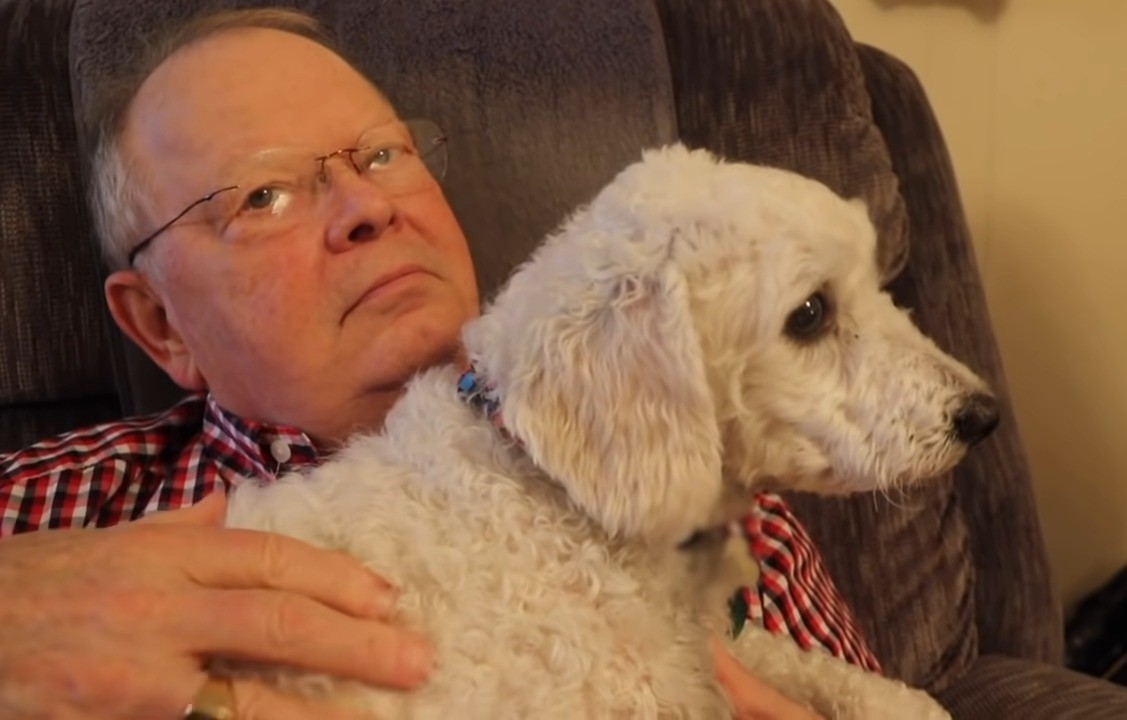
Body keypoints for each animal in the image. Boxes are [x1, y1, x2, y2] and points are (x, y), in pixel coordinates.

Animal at [224, 143, 1000, 716]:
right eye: (809, 314)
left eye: (878, 284)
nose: (983, 415)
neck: (551, 492)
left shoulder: (706, 646)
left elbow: (806, 661)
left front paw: (902, 705)